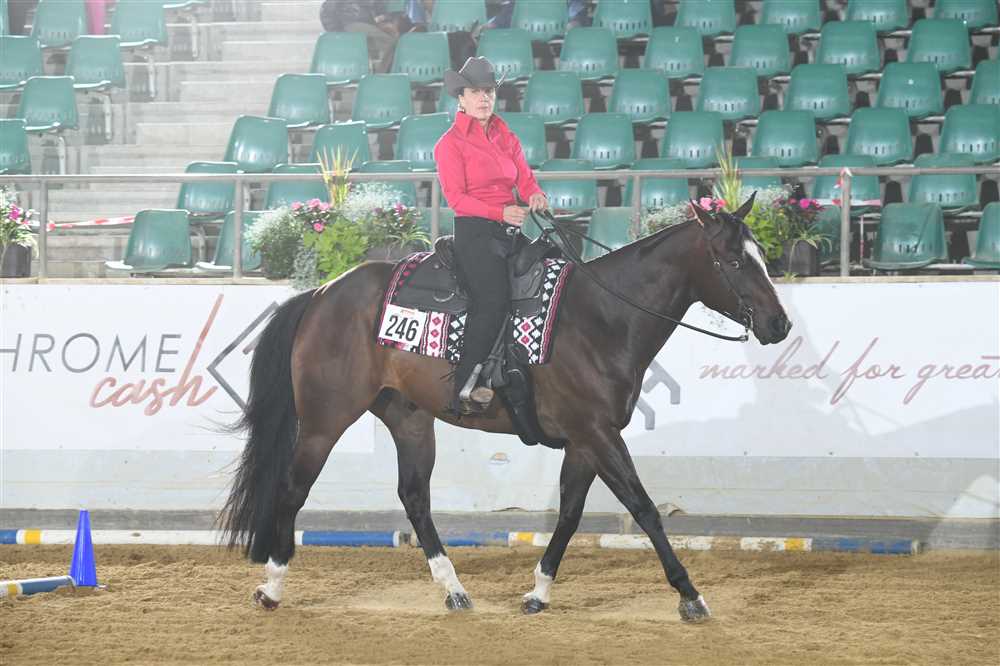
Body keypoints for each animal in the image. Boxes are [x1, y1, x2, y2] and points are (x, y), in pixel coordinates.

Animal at [221, 194, 792, 623]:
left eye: (763, 256)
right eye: (735, 261)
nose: (779, 324)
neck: (603, 316)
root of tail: (321, 293)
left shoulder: (586, 440)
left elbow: (568, 514)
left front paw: (538, 592)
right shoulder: (600, 434)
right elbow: (644, 508)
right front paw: (690, 595)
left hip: (409, 418)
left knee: (415, 498)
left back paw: (453, 590)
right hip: (325, 418)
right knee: (293, 489)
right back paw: (272, 586)